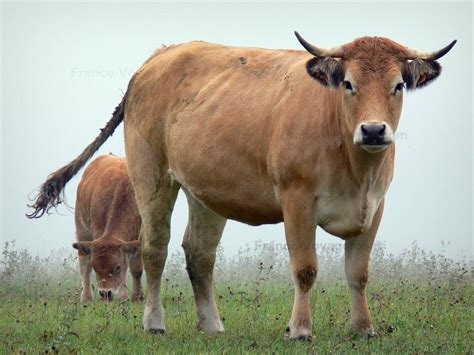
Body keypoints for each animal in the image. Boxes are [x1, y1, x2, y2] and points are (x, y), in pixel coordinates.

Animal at [71, 156, 143, 304]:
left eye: (117, 267)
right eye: (95, 267)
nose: (105, 293)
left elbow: (135, 268)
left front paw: (136, 296)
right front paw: (123, 295)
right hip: (82, 231)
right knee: (84, 265)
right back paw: (86, 297)